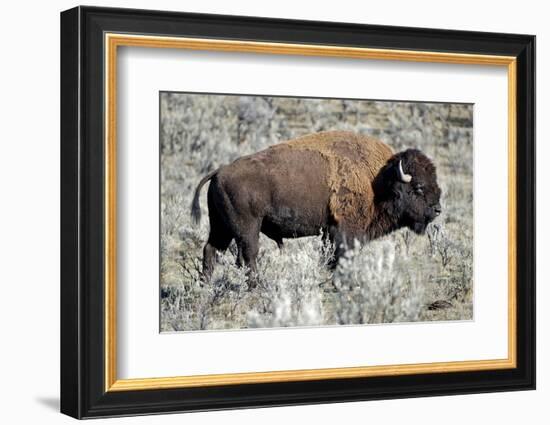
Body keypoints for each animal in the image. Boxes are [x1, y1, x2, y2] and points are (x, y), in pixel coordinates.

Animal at [192, 131, 442, 284]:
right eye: (418, 187)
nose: (438, 210)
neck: (377, 180)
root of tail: (220, 171)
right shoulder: (345, 231)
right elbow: (340, 256)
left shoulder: (331, 231)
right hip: (247, 228)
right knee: (248, 254)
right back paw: (256, 285)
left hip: (221, 227)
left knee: (211, 249)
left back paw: (206, 284)